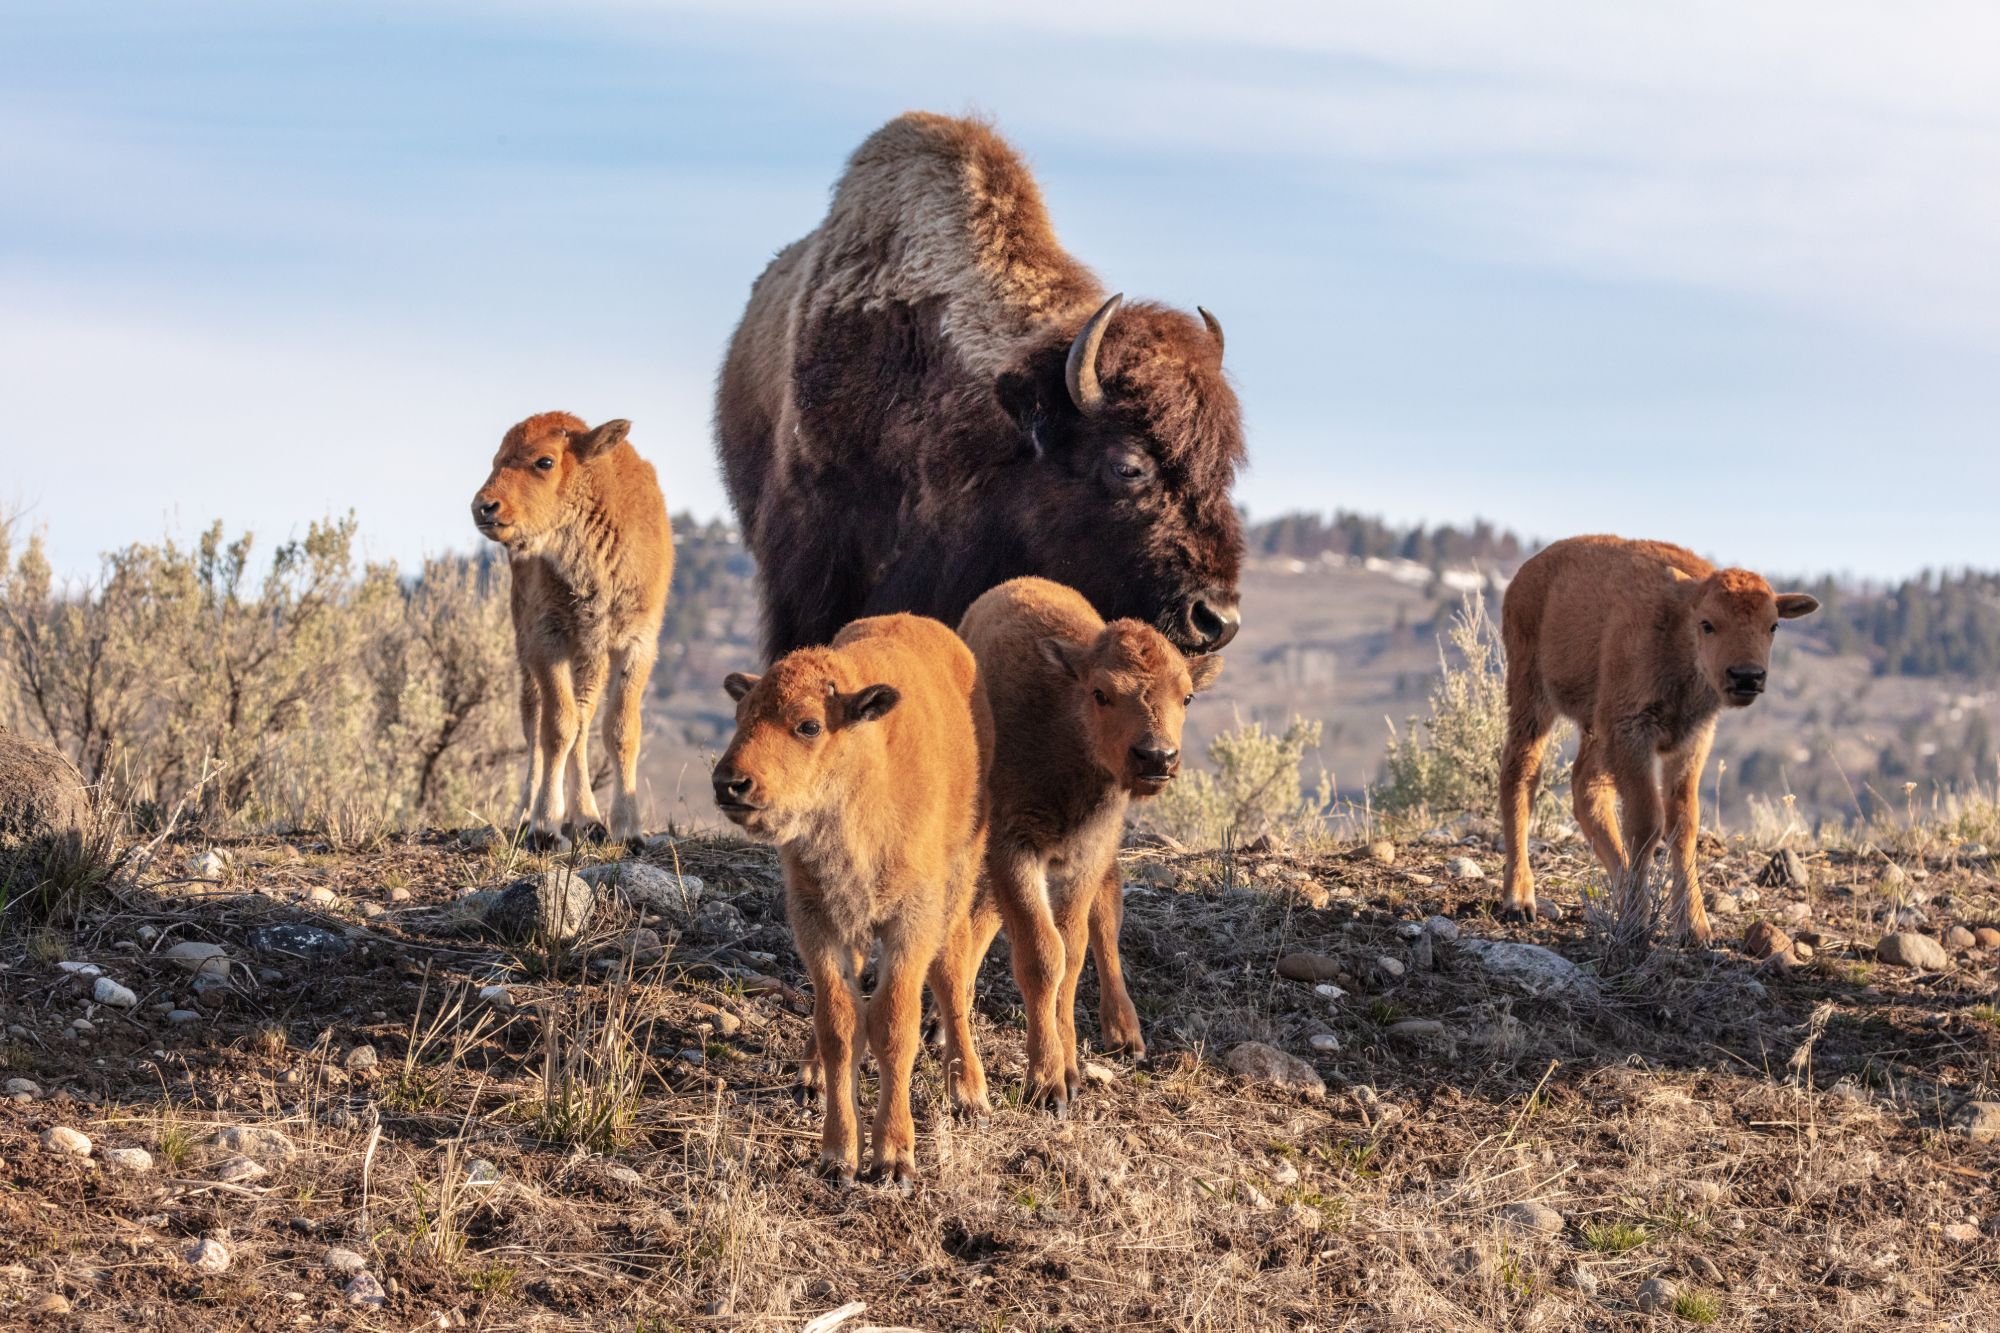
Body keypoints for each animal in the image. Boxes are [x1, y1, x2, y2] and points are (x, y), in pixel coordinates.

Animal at [470, 410, 672, 844]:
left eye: (544, 461)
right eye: (497, 460)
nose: (484, 507)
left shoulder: (635, 644)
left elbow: (619, 729)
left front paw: (628, 830)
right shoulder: (548, 642)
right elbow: (556, 728)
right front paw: (545, 827)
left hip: (590, 659)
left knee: (583, 721)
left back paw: (589, 819)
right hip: (527, 646)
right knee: (535, 720)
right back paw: (528, 813)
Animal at [712, 612, 992, 1184]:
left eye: (809, 725)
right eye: (742, 716)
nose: (730, 783)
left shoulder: (911, 921)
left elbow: (893, 1024)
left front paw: (893, 1157)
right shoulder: (817, 921)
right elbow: (839, 1024)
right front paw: (838, 1155)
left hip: (960, 874)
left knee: (952, 973)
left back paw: (968, 1091)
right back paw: (811, 1074)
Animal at [956, 576, 1216, 1104]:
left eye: (1186, 698)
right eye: (1101, 693)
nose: (1156, 757)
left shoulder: (1086, 856)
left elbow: (1072, 952)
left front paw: (1065, 1071)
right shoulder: (1014, 847)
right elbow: (1042, 955)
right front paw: (1048, 1082)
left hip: (1104, 857)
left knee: (1107, 917)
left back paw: (1126, 1034)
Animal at [1504, 536, 1816, 940]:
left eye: (1773, 625)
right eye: (1707, 624)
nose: (1747, 676)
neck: (1679, 626)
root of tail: (1527, 573)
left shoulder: (1689, 741)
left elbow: (1683, 823)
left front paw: (1695, 928)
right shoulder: (1632, 731)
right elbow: (1646, 822)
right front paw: (1638, 920)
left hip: (1594, 728)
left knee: (1586, 787)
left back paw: (1620, 891)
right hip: (1531, 696)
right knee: (1520, 776)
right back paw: (1519, 899)